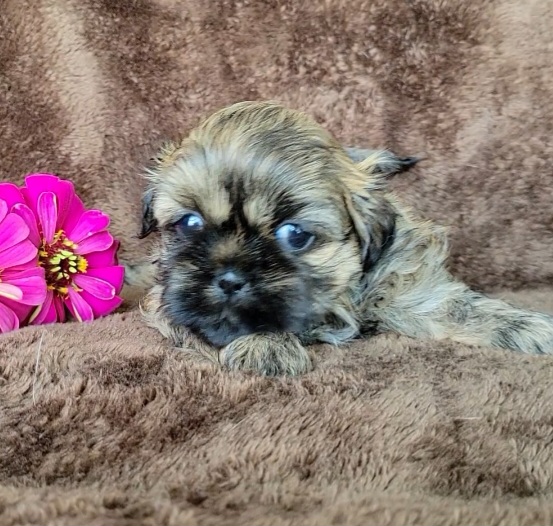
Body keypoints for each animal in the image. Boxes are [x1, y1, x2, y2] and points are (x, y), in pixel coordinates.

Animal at [131, 100, 553, 376]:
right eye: (190, 224)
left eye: (294, 235)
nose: (229, 279)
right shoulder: (168, 300)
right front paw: (267, 345)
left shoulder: (408, 285)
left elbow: (468, 309)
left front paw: (534, 329)